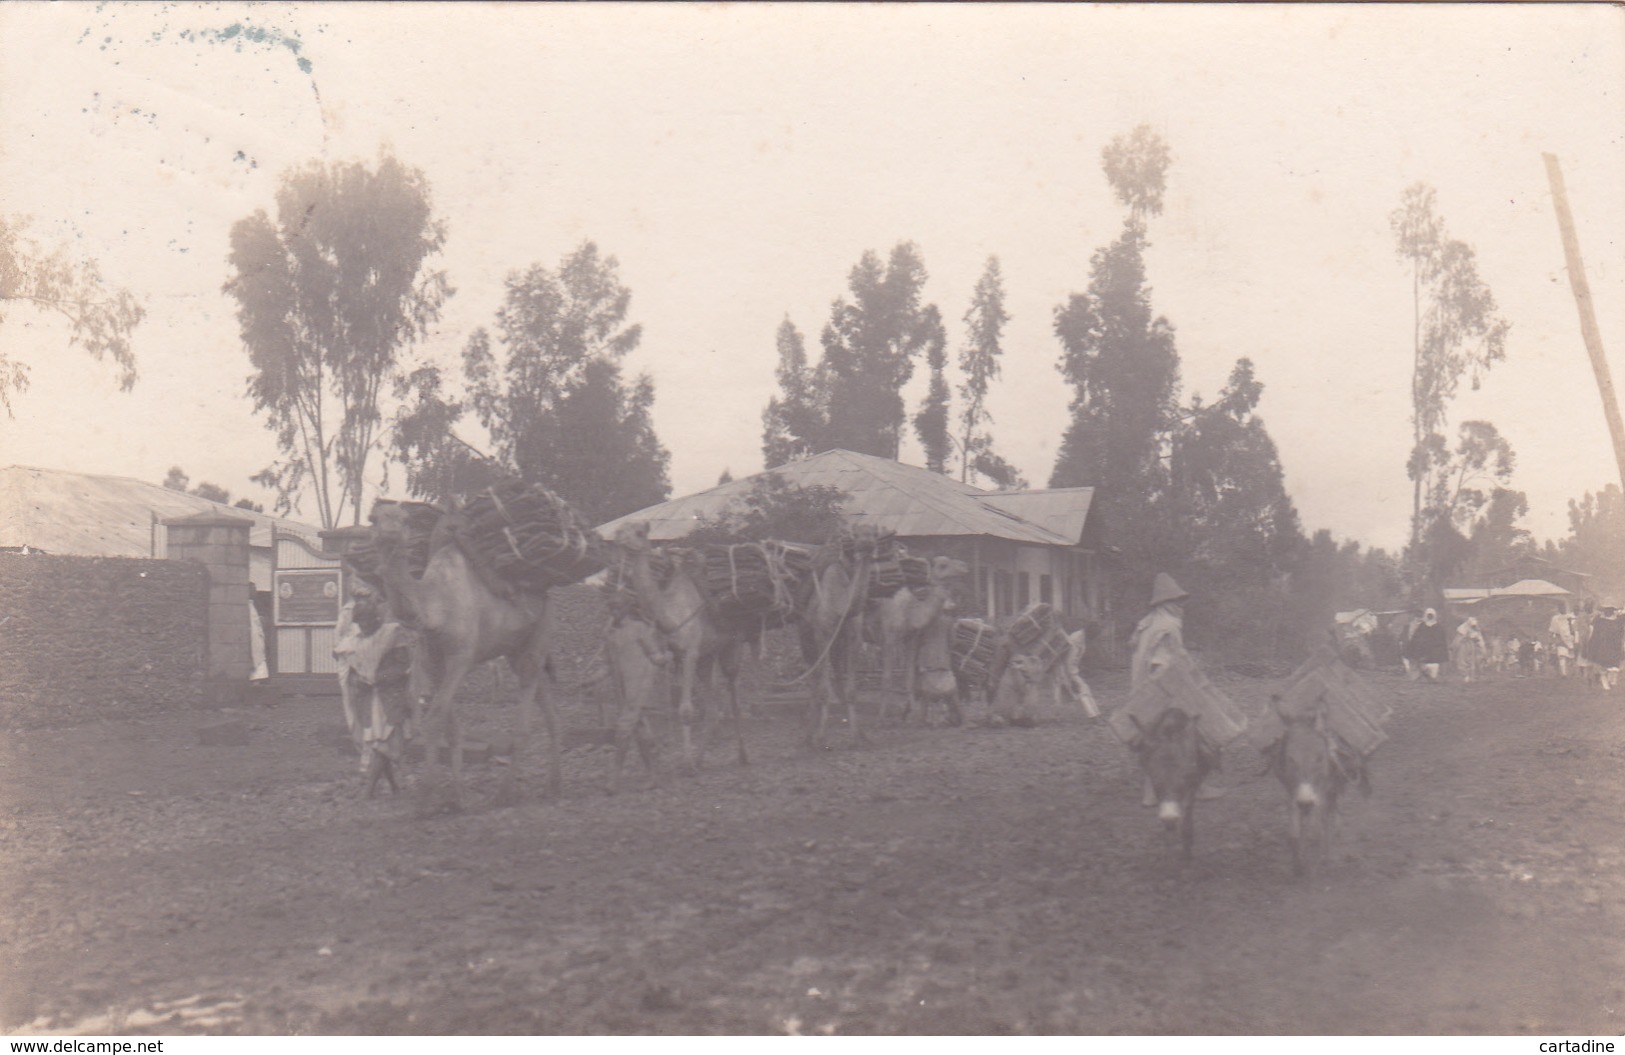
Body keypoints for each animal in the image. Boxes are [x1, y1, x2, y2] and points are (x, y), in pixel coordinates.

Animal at [611, 520, 747, 773]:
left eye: (639, 532)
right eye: (620, 530)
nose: (619, 538)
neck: (670, 616)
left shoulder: (691, 652)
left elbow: (685, 711)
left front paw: (687, 764)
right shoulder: (672, 655)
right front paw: (686, 761)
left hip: (732, 646)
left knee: (732, 693)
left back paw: (742, 755)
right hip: (707, 658)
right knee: (714, 707)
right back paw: (702, 758)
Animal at [796, 523, 884, 747]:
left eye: (874, 533)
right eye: (856, 534)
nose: (867, 542)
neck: (841, 604)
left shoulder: (853, 638)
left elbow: (851, 690)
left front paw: (857, 737)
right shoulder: (823, 636)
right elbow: (823, 690)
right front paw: (821, 738)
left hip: (837, 646)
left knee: (836, 677)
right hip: (807, 640)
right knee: (813, 679)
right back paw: (808, 736)